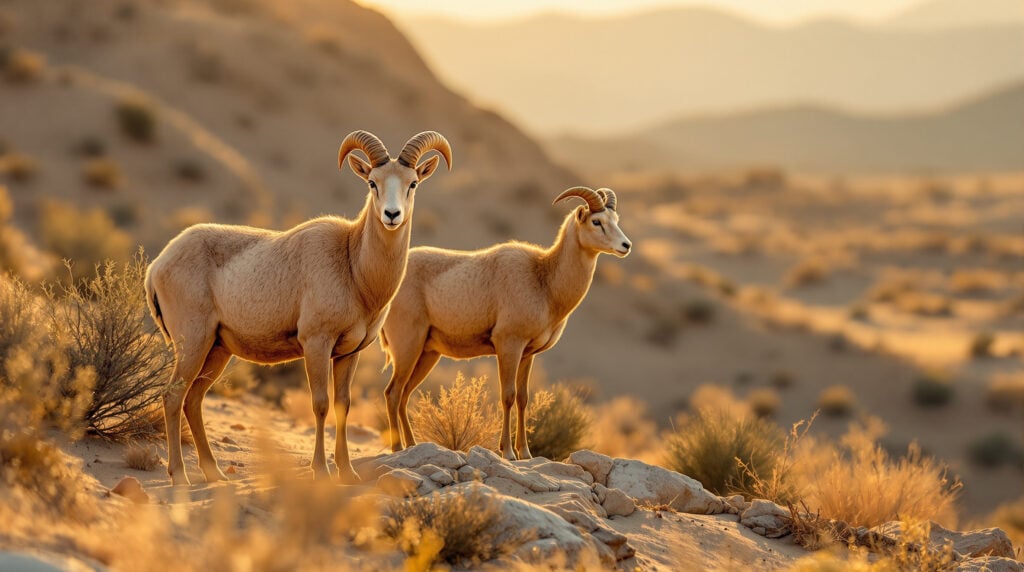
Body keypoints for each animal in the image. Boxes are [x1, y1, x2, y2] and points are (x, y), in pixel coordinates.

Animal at [145, 130, 452, 485]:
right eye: (372, 182)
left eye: (412, 183)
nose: (391, 215)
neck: (352, 263)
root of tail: (157, 266)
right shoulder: (316, 344)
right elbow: (320, 404)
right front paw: (321, 471)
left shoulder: (349, 353)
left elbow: (342, 405)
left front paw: (347, 472)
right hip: (193, 344)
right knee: (173, 396)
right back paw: (180, 476)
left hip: (217, 350)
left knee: (193, 399)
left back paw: (215, 474)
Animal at [379, 186, 630, 460]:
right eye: (597, 222)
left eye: (615, 219)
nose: (625, 245)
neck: (543, 278)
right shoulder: (509, 345)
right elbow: (507, 396)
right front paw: (508, 453)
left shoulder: (528, 354)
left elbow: (523, 398)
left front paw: (526, 453)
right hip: (408, 349)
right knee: (393, 392)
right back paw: (397, 448)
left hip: (427, 354)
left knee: (404, 394)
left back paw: (412, 445)